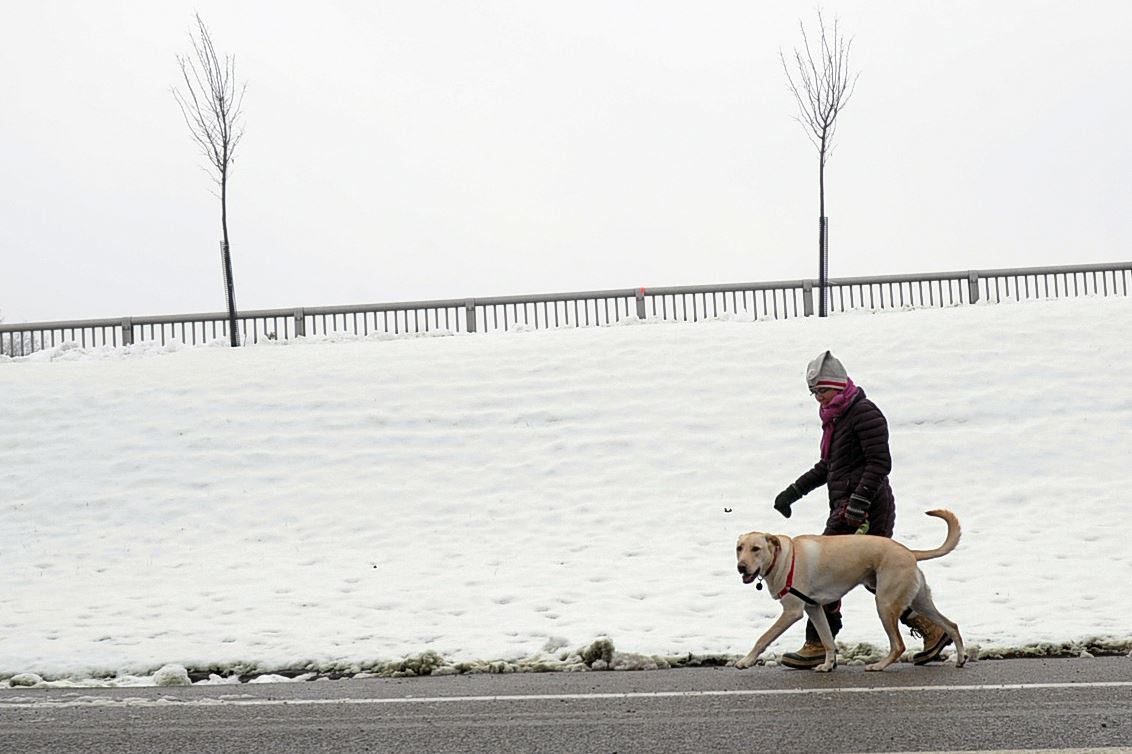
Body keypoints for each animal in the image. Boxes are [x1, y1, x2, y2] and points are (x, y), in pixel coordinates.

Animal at [734, 509, 966, 672]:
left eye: (756, 549)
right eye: (739, 548)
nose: (741, 567)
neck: (784, 558)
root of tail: (909, 552)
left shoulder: (792, 612)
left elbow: (763, 637)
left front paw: (746, 660)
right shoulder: (814, 608)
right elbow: (827, 640)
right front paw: (828, 665)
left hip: (884, 604)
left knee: (899, 645)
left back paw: (879, 665)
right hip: (920, 601)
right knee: (951, 625)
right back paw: (961, 658)